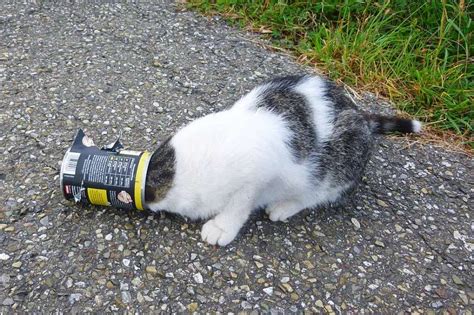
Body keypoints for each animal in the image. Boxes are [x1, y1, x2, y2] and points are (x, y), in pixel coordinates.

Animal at [144, 76, 422, 247]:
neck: (179, 168)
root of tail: (362, 117)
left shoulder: (254, 178)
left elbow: (239, 206)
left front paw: (221, 229)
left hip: (338, 170)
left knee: (316, 195)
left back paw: (283, 207)